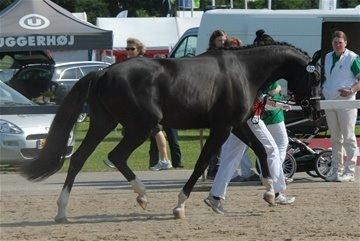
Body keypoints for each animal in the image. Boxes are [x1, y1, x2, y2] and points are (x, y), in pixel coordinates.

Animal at [21, 42, 320, 222]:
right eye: (315, 76)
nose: (315, 110)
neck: (243, 71)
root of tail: (103, 72)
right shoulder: (222, 128)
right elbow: (201, 164)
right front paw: (180, 206)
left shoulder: (237, 125)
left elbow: (260, 149)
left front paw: (270, 194)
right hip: (142, 126)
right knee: (116, 156)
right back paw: (142, 195)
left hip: (103, 124)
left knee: (79, 159)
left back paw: (62, 210)